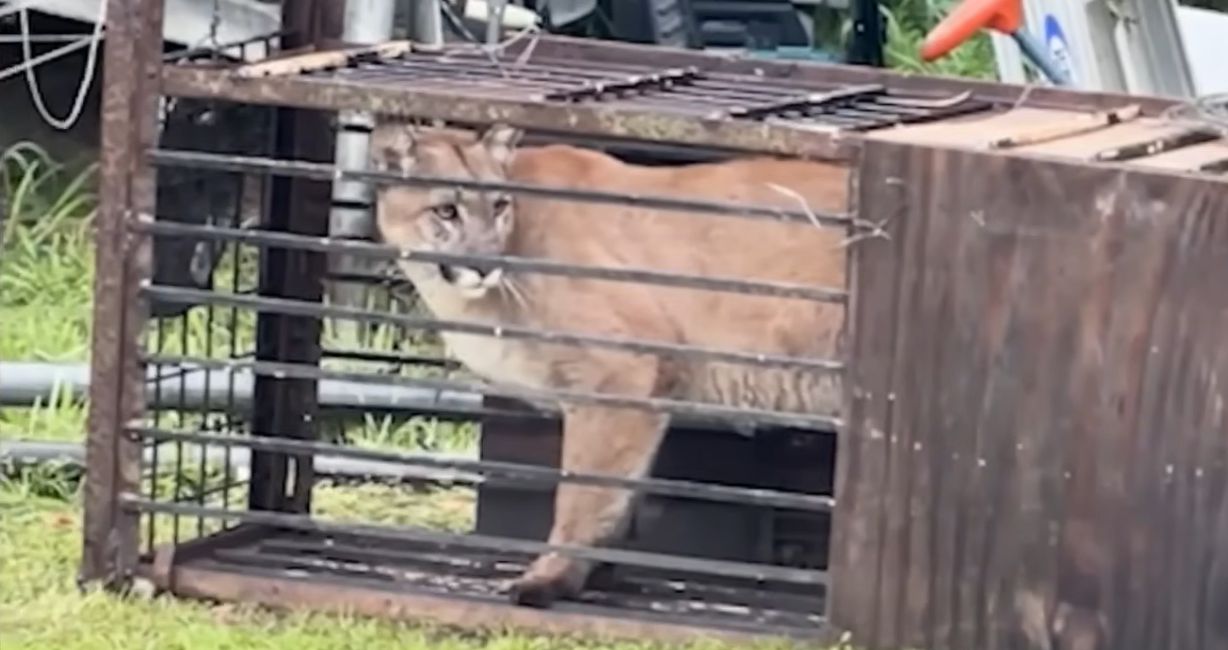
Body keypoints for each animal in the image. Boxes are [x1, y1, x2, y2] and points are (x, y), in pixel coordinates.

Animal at [370, 121, 850, 608]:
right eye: (446, 210)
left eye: (499, 205)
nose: (484, 265)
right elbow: (619, 491)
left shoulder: (618, 376)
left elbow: (582, 492)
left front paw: (548, 578)